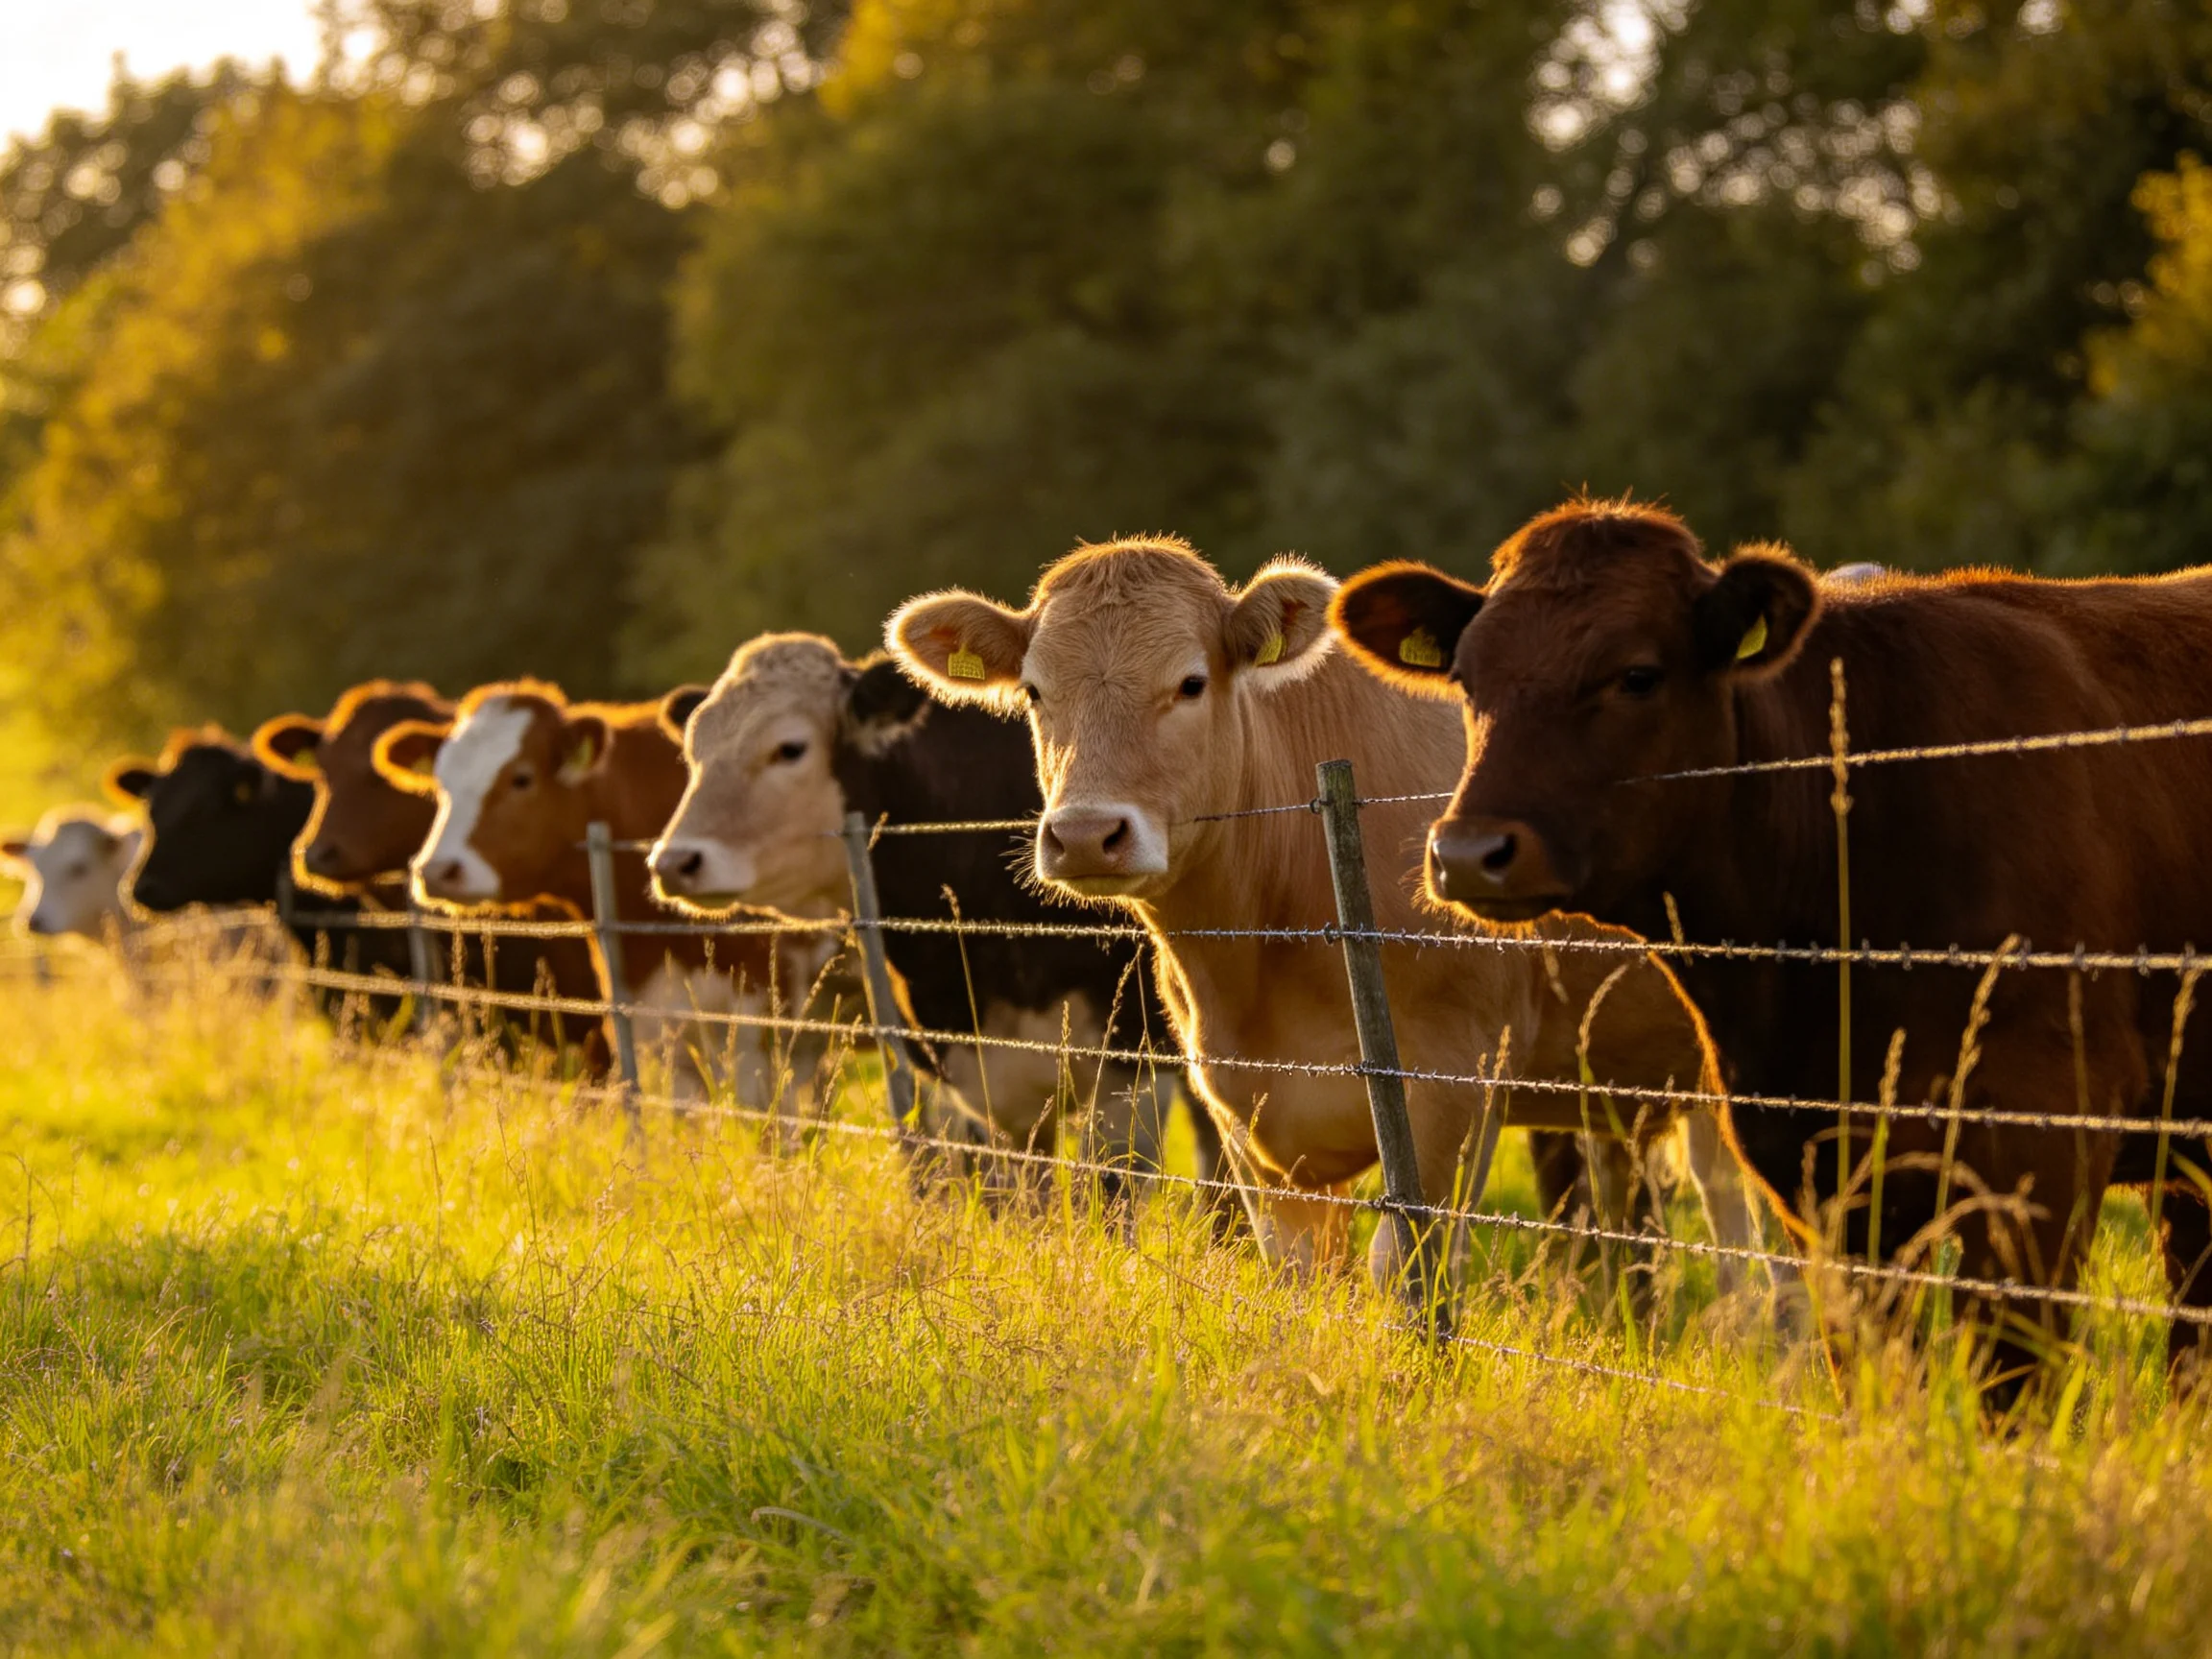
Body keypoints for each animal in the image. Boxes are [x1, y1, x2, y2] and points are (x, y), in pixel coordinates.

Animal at [886, 537, 1760, 1293]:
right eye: (1035, 692)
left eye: (1191, 682)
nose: (1084, 834)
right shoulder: (1244, 1114)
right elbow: (1297, 1273)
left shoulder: (1456, 1086)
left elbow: (1406, 1270)